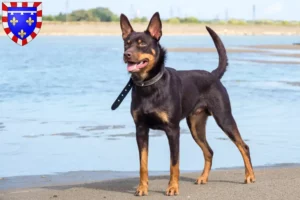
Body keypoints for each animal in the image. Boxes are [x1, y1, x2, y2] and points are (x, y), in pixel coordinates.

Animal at [118, 11, 255, 196]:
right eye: (127, 43)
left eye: (142, 44)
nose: (127, 54)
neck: (149, 85)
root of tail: (213, 75)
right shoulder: (140, 129)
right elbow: (143, 164)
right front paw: (142, 188)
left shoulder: (173, 130)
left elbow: (174, 163)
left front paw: (173, 188)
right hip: (196, 126)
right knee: (209, 151)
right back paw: (203, 178)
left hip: (224, 117)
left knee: (243, 146)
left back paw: (249, 176)